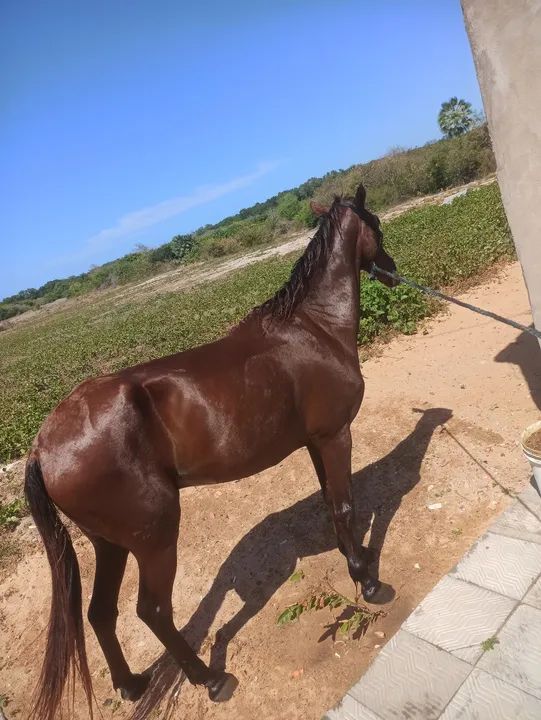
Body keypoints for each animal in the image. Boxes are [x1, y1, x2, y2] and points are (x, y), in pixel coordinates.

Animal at [24, 182, 397, 719]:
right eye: (376, 226)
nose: (390, 269)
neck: (313, 329)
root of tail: (43, 444)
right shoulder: (334, 436)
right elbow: (345, 505)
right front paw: (368, 581)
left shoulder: (314, 443)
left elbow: (333, 504)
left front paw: (360, 558)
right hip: (156, 539)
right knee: (153, 610)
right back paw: (210, 679)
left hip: (110, 544)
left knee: (101, 612)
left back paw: (131, 684)